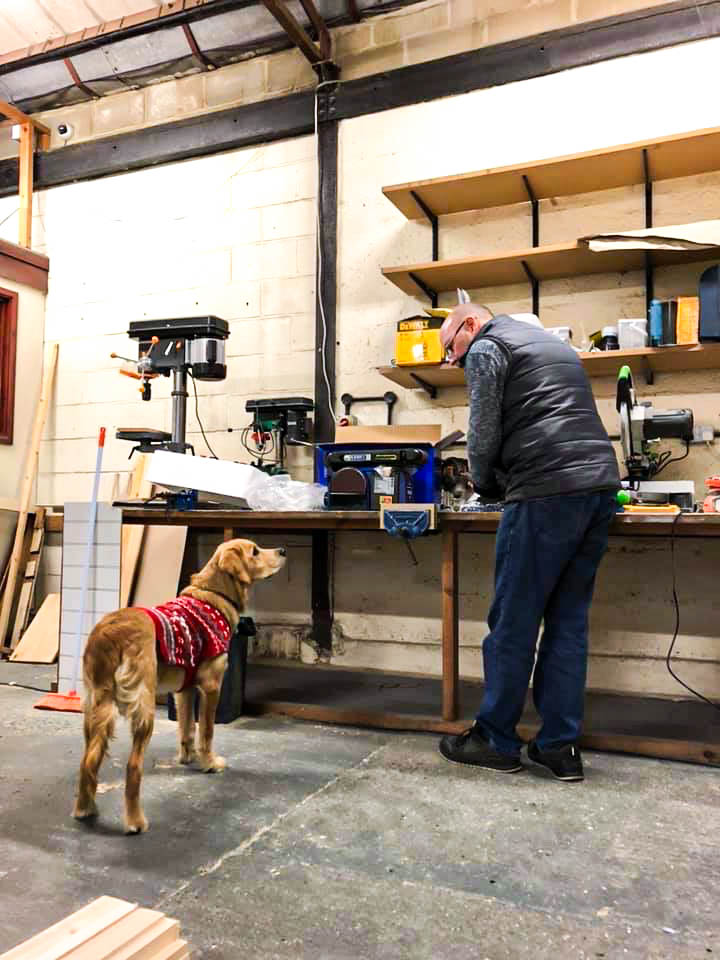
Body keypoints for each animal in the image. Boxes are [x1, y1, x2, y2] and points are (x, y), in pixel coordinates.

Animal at [73, 536, 286, 836]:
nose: (283, 550)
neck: (214, 593)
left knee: (88, 760)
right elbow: (206, 731)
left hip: (95, 706)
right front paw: (210, 763)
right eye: (254, 551)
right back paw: (135, 821)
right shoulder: (211, 685)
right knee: (133, 767)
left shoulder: (184, 689)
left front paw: (188, 758)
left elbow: (187, 728)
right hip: (143, 708)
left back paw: (85, 808)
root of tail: (109, 633)